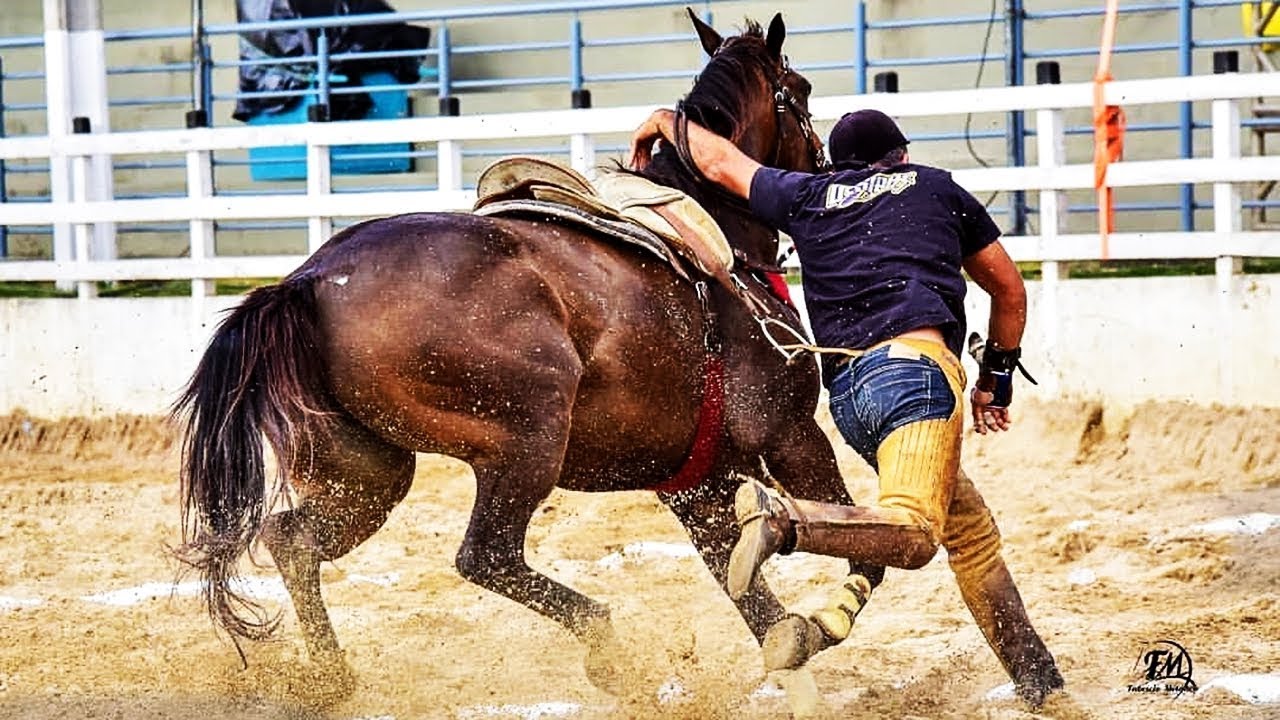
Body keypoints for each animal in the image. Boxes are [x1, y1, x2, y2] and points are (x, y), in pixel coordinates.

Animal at [172, 9, 880, 691]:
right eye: (800, 91)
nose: (825, 167)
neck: (717, 246)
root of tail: (309, 281)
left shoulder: (697, 485)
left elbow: (755, 600)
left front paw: (793, 641)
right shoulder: (788, 434)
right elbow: (858, 543)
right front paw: (824, 621)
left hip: (367, 474)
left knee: (292, 538)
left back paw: (332, 677)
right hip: (529, 436)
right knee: (485, 555)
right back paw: (605, 647)